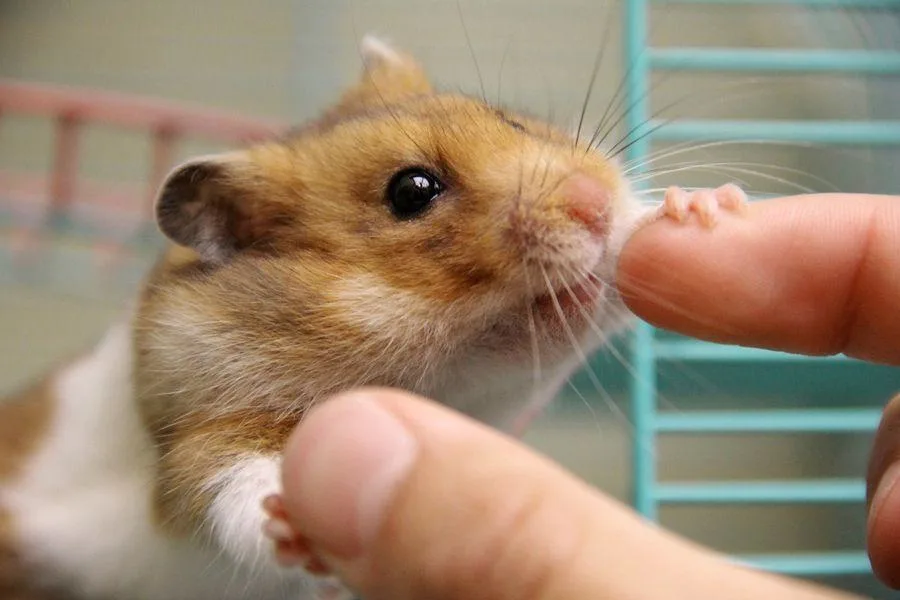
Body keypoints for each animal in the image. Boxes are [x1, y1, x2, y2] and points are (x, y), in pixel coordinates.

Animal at [0, 36, 746, 600]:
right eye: (412, 191)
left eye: (509, 119)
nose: (593, 203)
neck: (446, 385)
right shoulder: (192, 440)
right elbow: (228, 489)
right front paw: (293, 524)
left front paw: (701, 207)